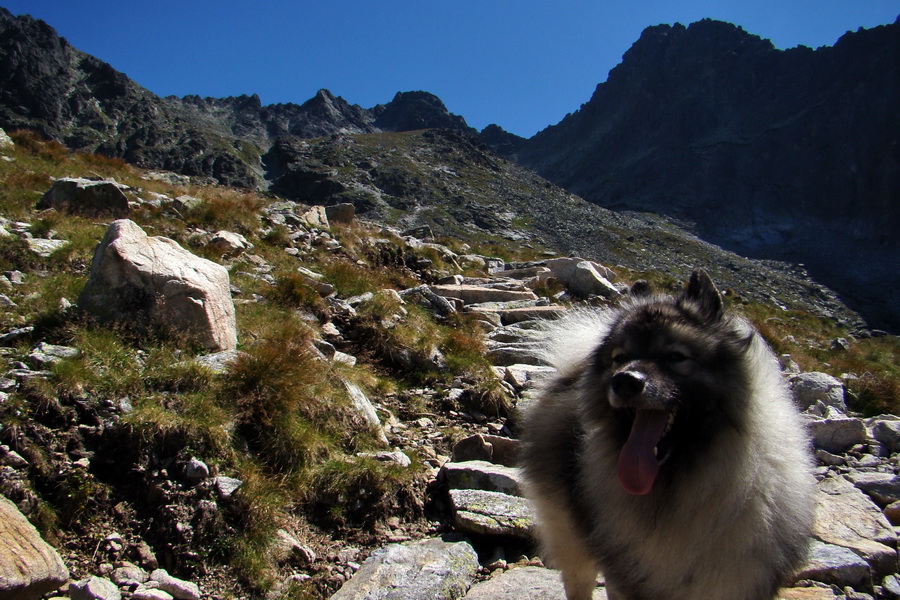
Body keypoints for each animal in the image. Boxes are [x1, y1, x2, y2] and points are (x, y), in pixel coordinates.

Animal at [516, 270, 820, 600]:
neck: (681, 491)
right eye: (619, 357)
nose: (625, 381)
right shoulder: (627, 577)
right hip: (571, 536)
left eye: (675, 356)